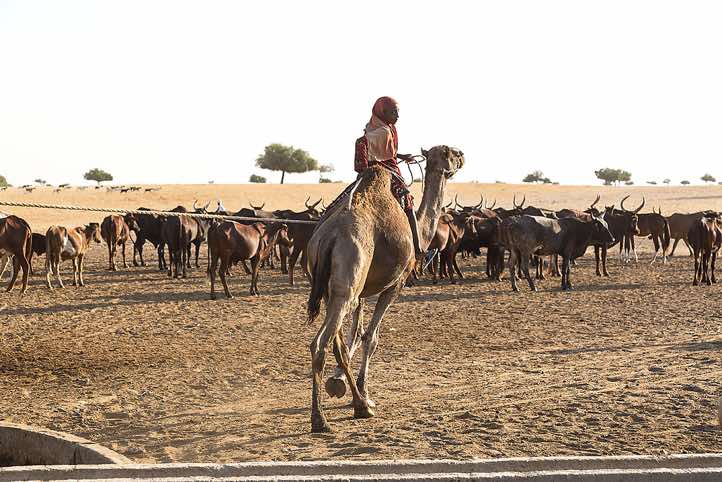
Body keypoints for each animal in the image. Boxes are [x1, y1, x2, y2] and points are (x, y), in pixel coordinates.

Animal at [305, 145, 464, 433]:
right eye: (450, 152)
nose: (463, 155)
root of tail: (328, 238)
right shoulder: (395, 284)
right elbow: (371, 338)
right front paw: (363, 391)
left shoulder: (361, 293)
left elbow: (353, 335)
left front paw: (341, 384)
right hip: (348, 282)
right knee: (319, 344)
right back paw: (325, 418)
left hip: (334, 289)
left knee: (333, 342)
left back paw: (353, 404)